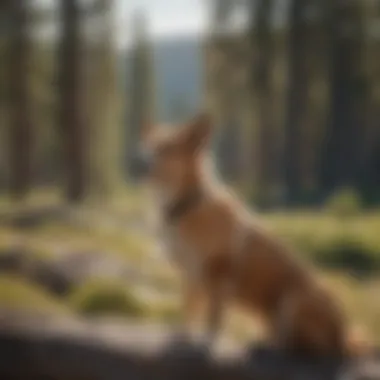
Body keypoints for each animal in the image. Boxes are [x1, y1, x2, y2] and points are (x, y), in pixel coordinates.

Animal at [136, 112, 368, 360]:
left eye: (166, 148)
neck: (187, 205)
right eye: (148, 146)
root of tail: (342, 336)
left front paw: (206, 344)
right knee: (293, 340)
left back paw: (272, 348)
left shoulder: (220, 272)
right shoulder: (191, 275)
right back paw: (263, 343)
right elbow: (189, 309)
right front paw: (181, 338)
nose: (137, 161)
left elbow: (214, 316)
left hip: (294, 300)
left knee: (304, 347)